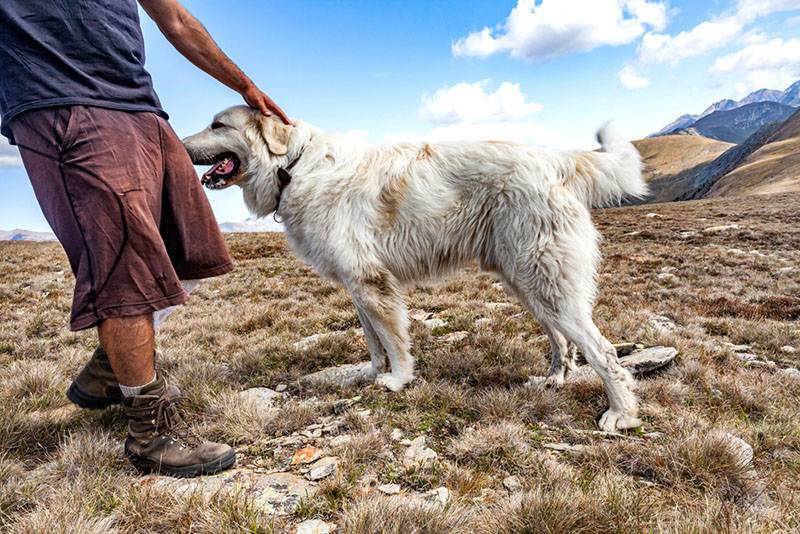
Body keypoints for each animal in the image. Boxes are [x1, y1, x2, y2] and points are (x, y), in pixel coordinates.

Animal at [184, 108, 648, 432]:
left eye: (217, 124)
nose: (180, 143)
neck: (292, 166)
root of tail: (555, 162)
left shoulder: (372, 284)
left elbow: (393, 339)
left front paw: (399, 380)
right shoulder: (357, 286)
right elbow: (373, 341)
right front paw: (372, 374)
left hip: (547, 282)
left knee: (602, 351)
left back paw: (620, 414)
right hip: (527, 283)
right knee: (563, 341)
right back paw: (552, 380)